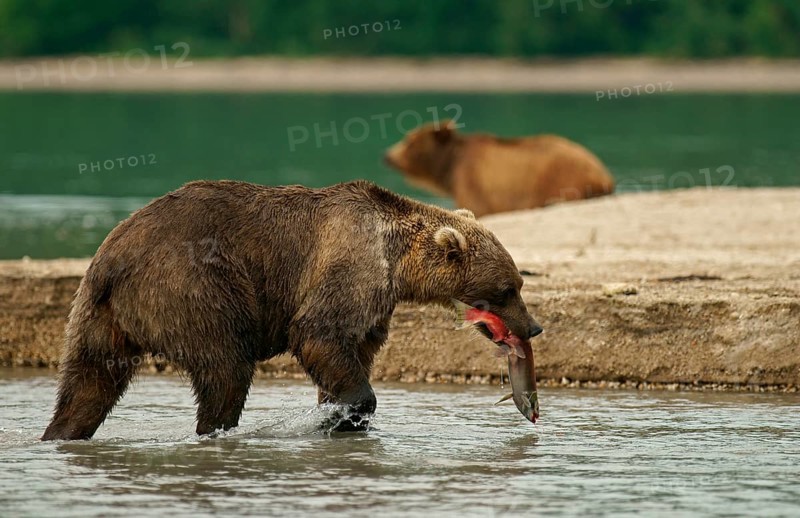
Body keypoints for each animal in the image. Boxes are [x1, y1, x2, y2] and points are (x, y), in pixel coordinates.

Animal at [41, 180, 542, 440]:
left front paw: (338, 413)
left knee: (88, 382)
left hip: (98, 313)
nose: (533, 327)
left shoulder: (375, 305)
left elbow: (351, 350)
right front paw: (349, 410)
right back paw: (215, 428)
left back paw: (62, 432)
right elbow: (318, 333)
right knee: (225, 367)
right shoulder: (350, 267)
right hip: (193, 285)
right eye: (507, 288)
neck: (396, 258)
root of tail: (115, 258)